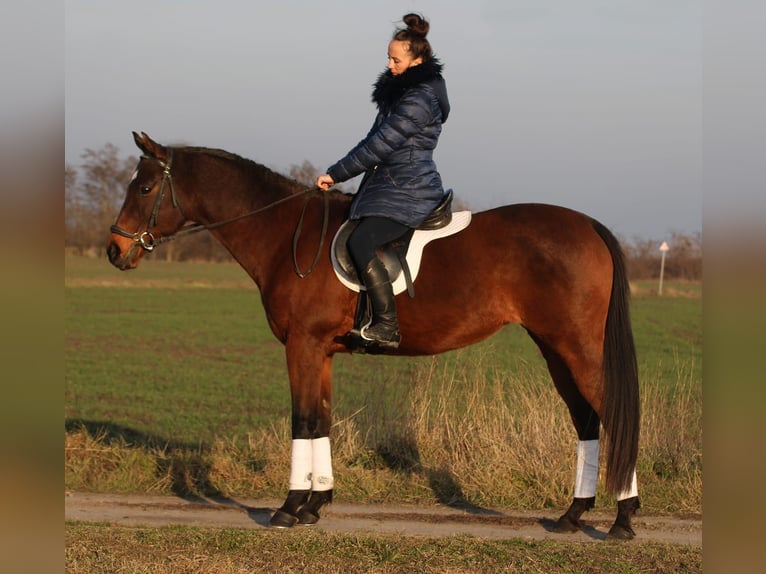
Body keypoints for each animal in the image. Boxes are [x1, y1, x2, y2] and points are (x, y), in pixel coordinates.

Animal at [108, 133, 644, 544]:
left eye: (146, 187)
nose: (114, 250)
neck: (285, 235)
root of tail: (588, 226)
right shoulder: (320, 351)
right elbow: (322, 418)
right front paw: (315, 504)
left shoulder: (301, 345)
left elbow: (303, 419)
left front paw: (288, 509)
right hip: (555, 349)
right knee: (586, 420)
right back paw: (573, 515)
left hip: (576, 348)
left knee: (613, 414)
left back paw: (622, 518)